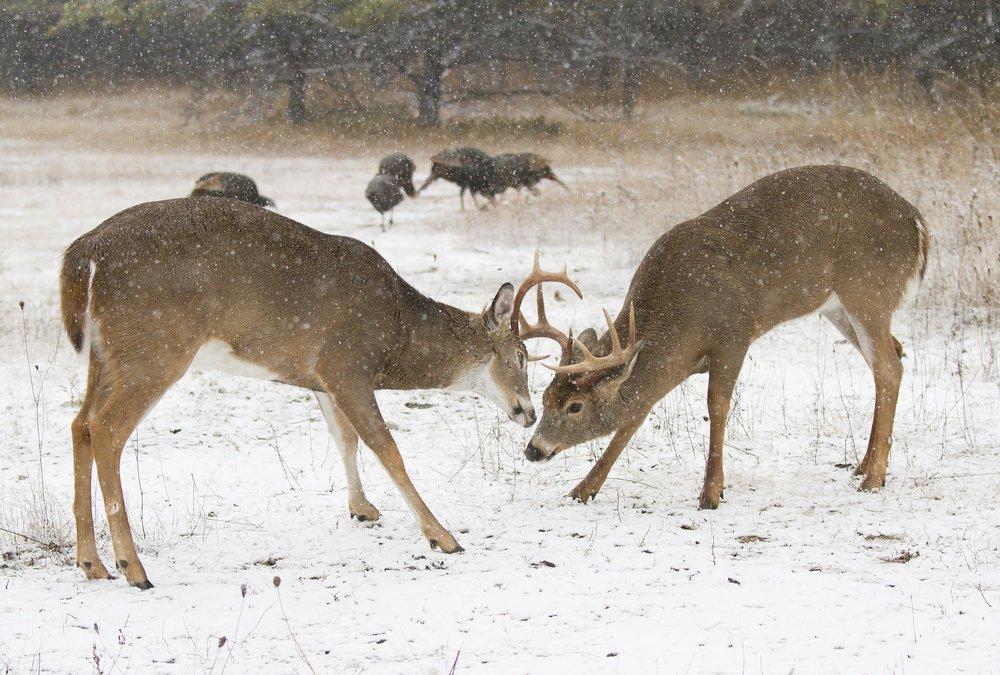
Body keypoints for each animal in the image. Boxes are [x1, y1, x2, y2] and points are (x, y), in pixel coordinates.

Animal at [60, 198, 580, 588]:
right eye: (520, 356)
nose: (526, 412)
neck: (397, 331)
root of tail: (82, 255)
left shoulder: (322, 379)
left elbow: (345, 439)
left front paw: (363, 509)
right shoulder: (348, 364)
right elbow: (387, 448)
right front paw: (442, 536)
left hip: (108, 356)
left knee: (79, 423)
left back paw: (92, 563)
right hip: (155, 347)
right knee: (106, 429)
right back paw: (134, 568)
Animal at [520, 166, 932, 510]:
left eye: (575, 406)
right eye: (545, 397)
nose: (533, 450)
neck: (681, 313)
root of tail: (917, 222)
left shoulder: (734, 334)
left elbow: (716, 405)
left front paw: (711, 493)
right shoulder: (678, 363)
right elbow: (637, 412)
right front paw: (583, 489)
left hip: (868, 288)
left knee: (889, 366)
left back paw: (873, 479)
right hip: (838, 307)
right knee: (889, 357)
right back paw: (864, 466)